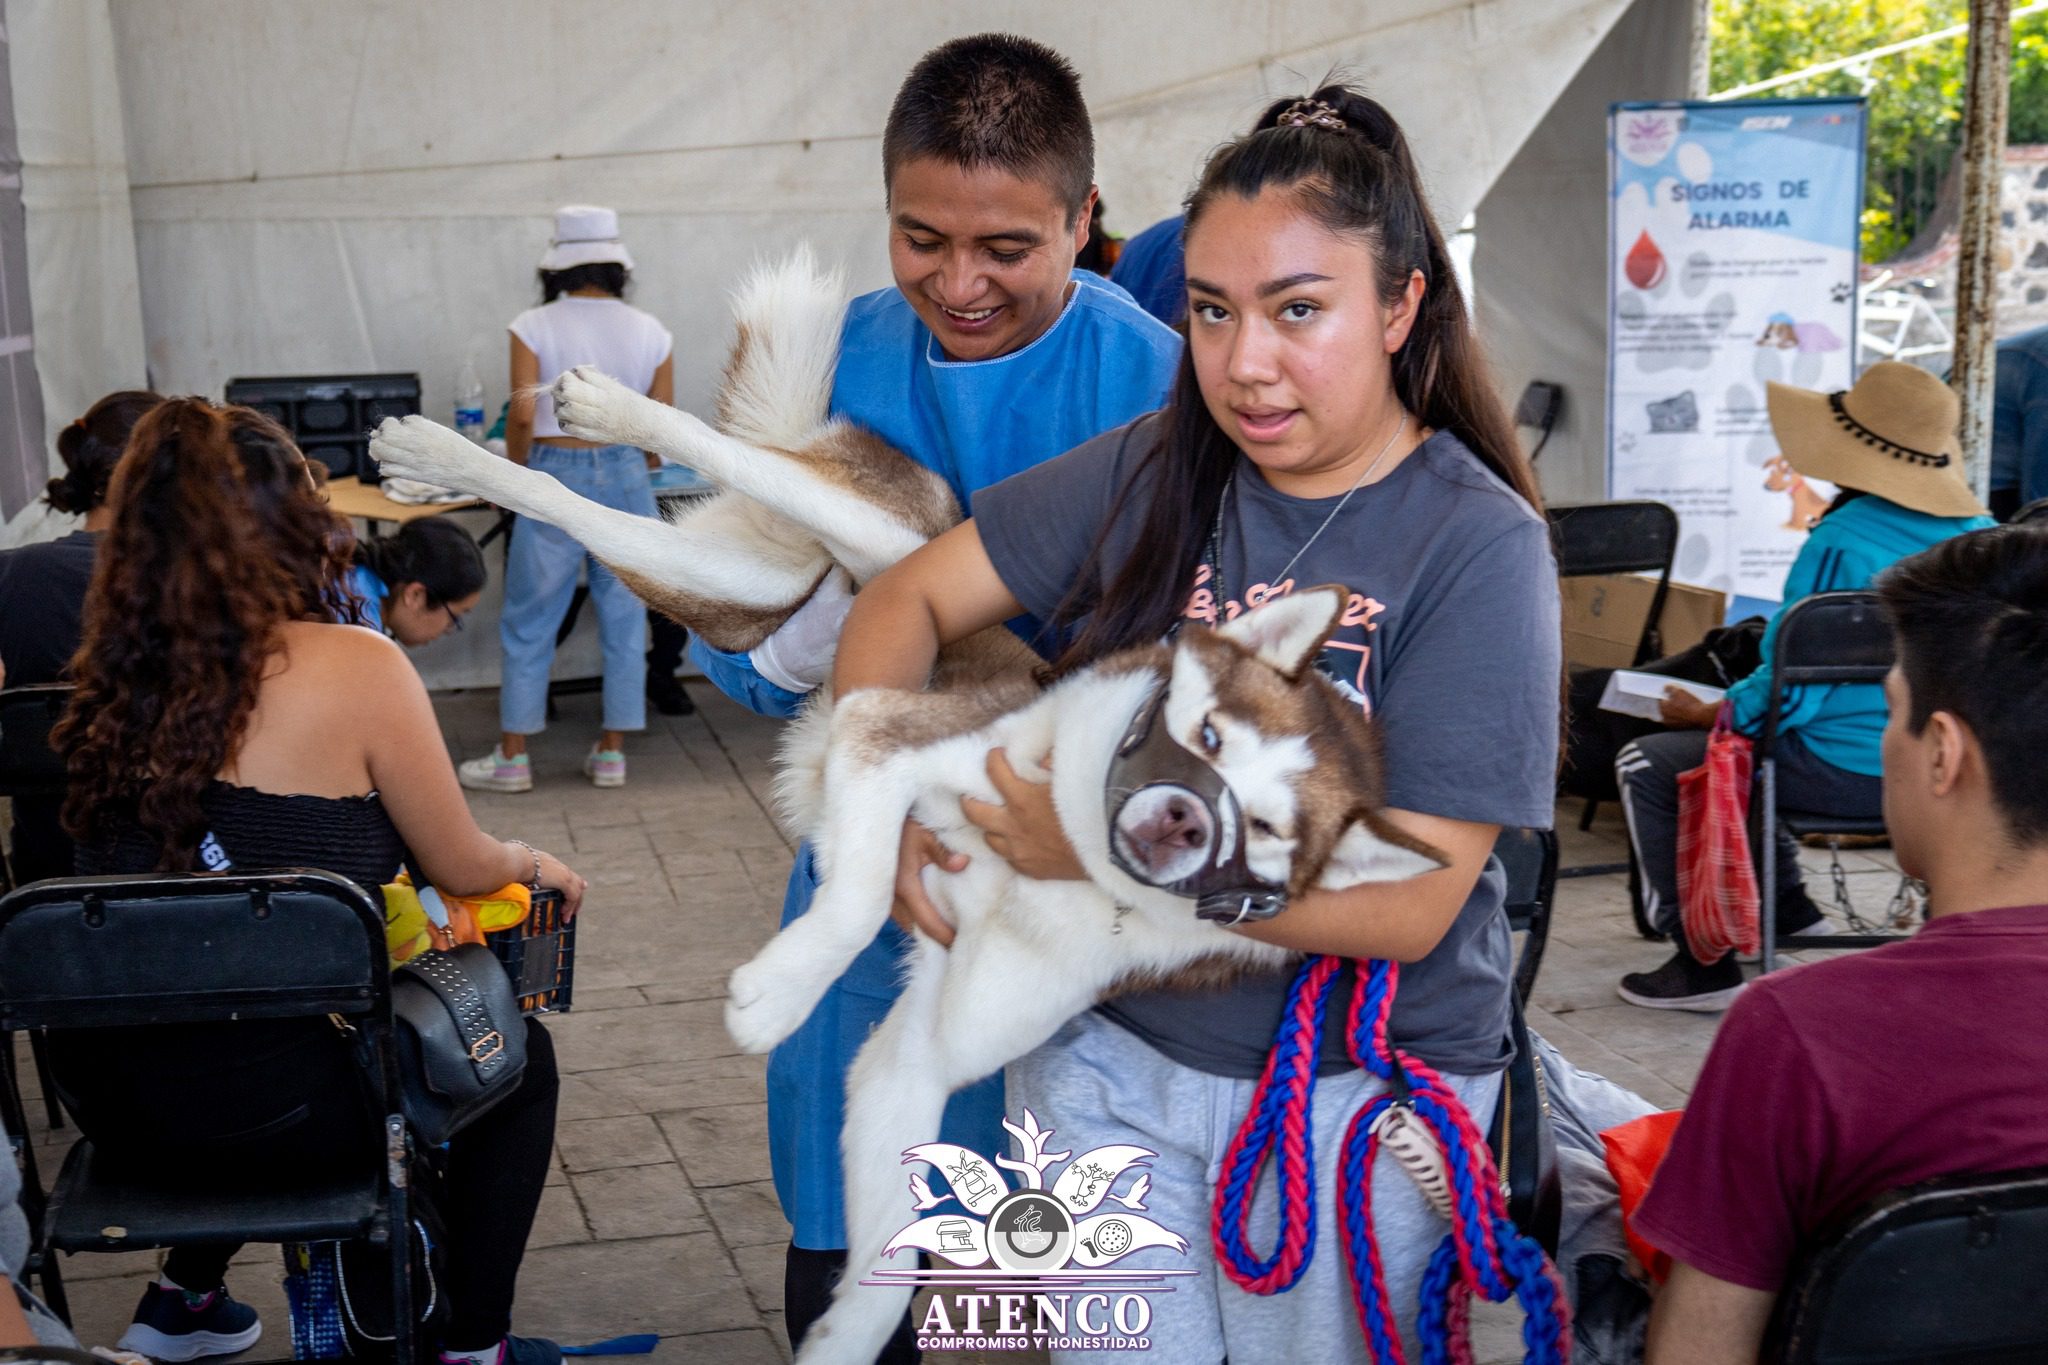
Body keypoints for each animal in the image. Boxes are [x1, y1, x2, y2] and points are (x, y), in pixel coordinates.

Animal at [757, 593, 1458, 1365]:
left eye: (1267, 826)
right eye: (1209, 736)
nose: (1185, 819)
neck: (1071, 857)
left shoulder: (932, 1049)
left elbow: (891, 1235)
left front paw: (845, 1338)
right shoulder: (884, 732)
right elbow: (862, 897)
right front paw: (771, 997)